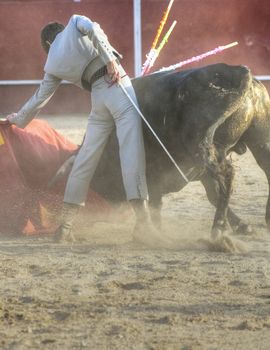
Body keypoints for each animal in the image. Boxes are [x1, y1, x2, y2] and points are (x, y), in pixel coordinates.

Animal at [55, 63, 270, 238]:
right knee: (263, 168)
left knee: (227, 174)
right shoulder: (197, 171)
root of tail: (237, 71)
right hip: (259, 140)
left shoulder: (153, 174)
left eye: (98, 179)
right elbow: (213, 195)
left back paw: (217, 229)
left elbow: (155, 202)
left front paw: (155, 230)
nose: (115, 203)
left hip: (204, 147)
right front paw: (242, 226)